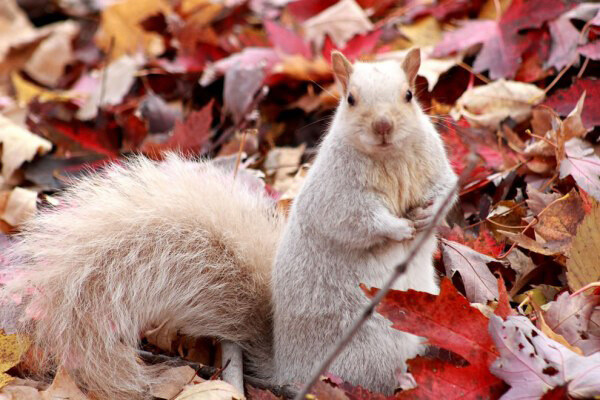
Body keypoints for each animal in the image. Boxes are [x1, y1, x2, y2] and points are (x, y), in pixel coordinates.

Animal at [2, 50, 458, 400]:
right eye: (350, 99)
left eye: (409, 95)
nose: (383, 126)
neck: (388, 158)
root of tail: (287, 368)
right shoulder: (336, 192)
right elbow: (351, 219)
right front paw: (397, 230)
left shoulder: (435, 165)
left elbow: (447, 189)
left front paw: (429, 214)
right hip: (367, 341)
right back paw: (402, 379)